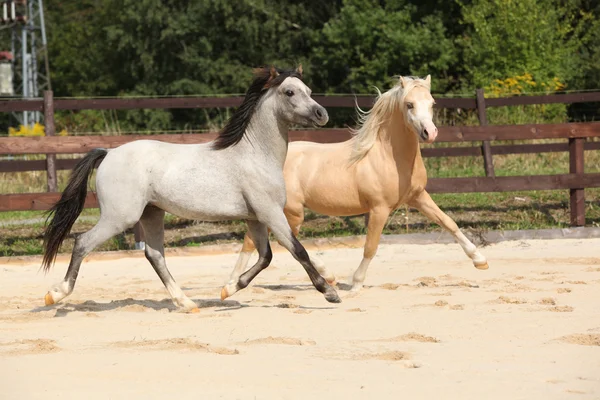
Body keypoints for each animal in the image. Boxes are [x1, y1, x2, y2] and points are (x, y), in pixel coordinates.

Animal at [41, 65, 342, 310]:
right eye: (290, 92)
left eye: (309, 91)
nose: (322, 114)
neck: (255, 155)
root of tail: (108, 153)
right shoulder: (271, 214)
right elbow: (297, 250)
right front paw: (330, 293)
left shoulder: (255, 218)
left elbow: (265, 257)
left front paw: (227, 290)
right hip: (120, 217)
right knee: (82, 242)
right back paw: (55, 294)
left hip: (152, 213)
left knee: (154, 255)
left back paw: (186, 303)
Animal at [229, 76, 488, 294]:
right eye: (409, 105)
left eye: (432, 103)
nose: (430, 133)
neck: (387, 156)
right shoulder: (379, 209)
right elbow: (370, 246)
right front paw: (355, 283)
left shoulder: (418, 197)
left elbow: (449, 222)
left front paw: (480, 260)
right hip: (290, 212)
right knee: (270, 241)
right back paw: (231, 285)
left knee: (265, 241)